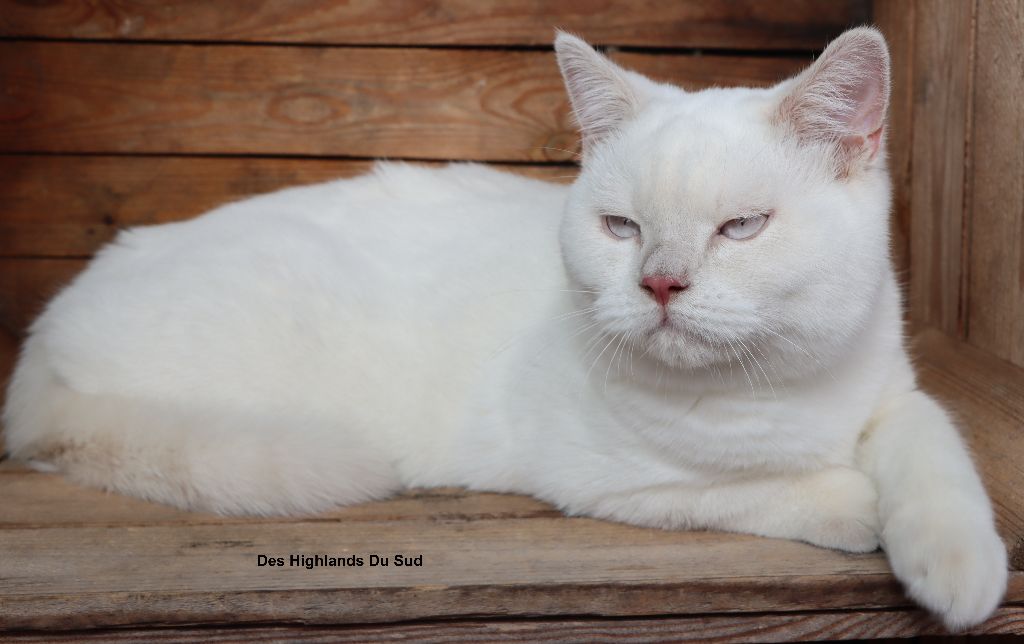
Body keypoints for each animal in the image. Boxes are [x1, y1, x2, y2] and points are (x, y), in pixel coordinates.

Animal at [0, 27, 1007, 626]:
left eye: (742, 227)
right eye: (622, 227)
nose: (661, 282)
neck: (774, 392)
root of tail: (42, 348)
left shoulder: (894, 394)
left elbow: (936, 451)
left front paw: (959, 565)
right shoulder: (609, 482)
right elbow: (762, 489)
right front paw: (853, 505)